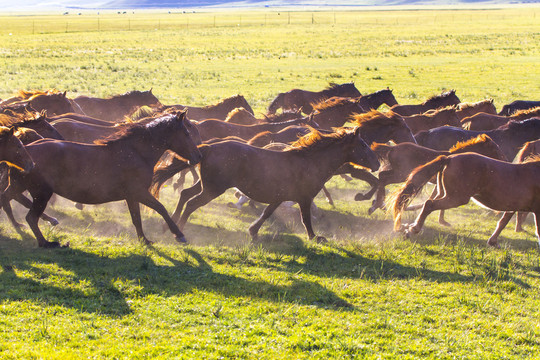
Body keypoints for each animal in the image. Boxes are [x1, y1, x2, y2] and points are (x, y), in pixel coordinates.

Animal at [1, 112, 202, 248]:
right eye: (186, 132)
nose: (197, 156)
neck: (136, 152)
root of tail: (27, 151)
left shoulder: (131, 196)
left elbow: (136, 218)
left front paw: (144, 240)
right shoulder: (138, 192)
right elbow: (161, 209)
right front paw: (179, 235)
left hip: (20, 187)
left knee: (7, 200)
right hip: (41, 193)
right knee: (30, 217)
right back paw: (46, 242)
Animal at [152, 126, 380, 242]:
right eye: (362, 144)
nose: (377, 163)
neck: (311, 161)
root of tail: (207, 148)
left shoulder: (281, 197)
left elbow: (266, 213)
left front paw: (253, 231)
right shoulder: (304, 198)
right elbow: (306, 218)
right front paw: (315, 237)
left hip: (205, 185)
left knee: (184, 194)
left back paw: (169, 226)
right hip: (212, 189)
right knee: (191, 203)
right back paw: (180, 232)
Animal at [364, 134, 508, 222]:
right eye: (496, 150)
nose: (505, 161)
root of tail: (392, 148)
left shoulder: (438, 184)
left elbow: (436, 197)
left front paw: (441, 220)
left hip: (399, 173)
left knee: (382, 177)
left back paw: (376, 204)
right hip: (401, 174)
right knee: (383, 178)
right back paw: (377, 205)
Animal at [390, 152, 540, 248]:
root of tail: (449, 158)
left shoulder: (513, 207)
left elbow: (503, 222)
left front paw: (492, 242)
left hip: (445, 194)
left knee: (429, 203)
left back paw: (409, 227)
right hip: (456, 198)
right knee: (429, 204)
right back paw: (413, 229)